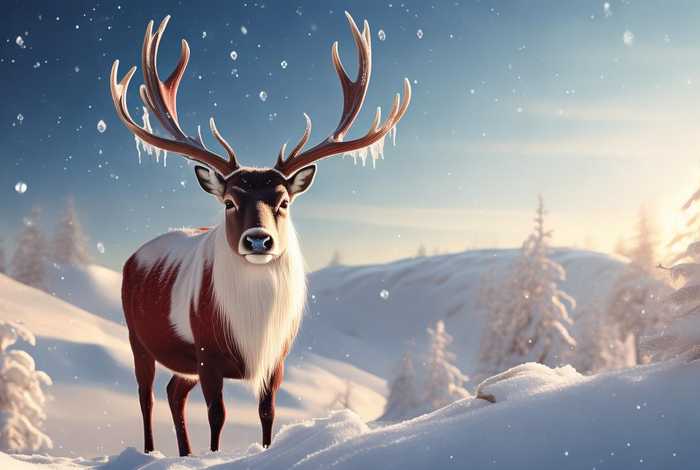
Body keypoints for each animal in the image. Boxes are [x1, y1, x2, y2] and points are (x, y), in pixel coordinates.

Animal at [110, 12, 410, 456]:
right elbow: (217, 415)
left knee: (172, 392)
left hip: (181, 360)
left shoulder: (277, 357)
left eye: (284, 201)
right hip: (137, 336)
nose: (257, 240)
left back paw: (184, 453)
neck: (251, 328)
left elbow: (267, 413)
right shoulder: (207, 351)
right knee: (146, 395)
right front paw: (214, 457)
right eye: (229, 202)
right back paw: (150, 453)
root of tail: (132, 257)